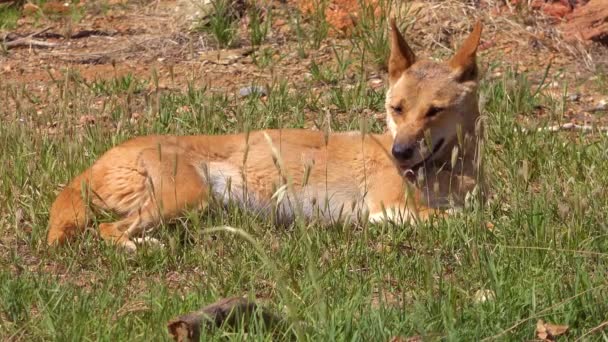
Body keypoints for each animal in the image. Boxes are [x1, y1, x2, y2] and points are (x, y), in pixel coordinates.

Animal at [46, 20, 484, 250]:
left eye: (434, 111)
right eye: (397, 109)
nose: (400, 153)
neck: (450, 173)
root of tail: (101, 160)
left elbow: (476, 215)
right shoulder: (390, 210)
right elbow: (468, 223)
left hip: (197, 206)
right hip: (187, 197)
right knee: (106, 231)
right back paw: (141, 249)